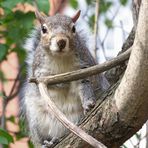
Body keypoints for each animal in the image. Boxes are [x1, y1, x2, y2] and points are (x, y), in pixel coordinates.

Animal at [22, 9, 108, 147]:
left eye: (73, 28)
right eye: (43, 29)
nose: (61, 41)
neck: (60, 58)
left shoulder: (83, 67)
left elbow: (85, 84)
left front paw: (88, 103)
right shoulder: (39, 73)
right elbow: (46, 83)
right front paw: (62, 83)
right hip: (36, 121)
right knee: (41, 138)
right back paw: (48, 142)